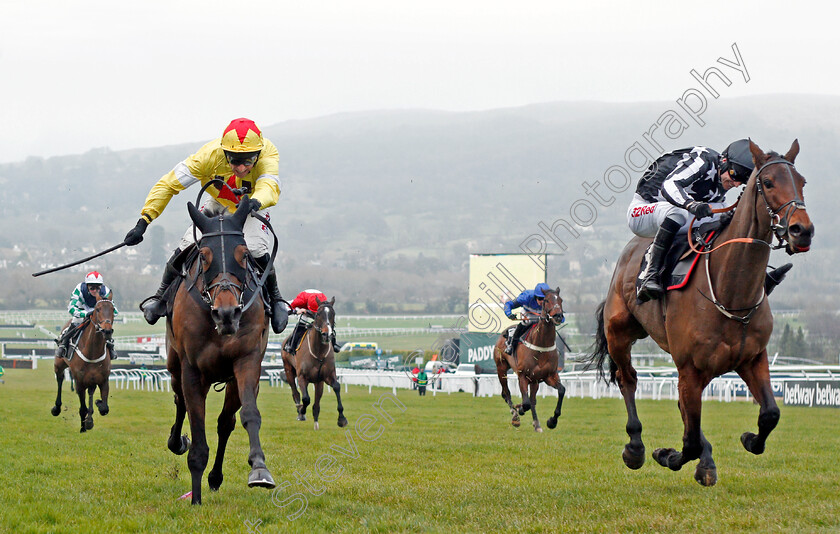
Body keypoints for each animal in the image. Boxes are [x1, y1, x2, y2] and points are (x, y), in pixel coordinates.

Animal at [50, 300, 114, 434]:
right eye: (97, 309)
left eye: (112, 309)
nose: (107, 331)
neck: (92, 352)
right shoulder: (80, 382)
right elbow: (83, 408)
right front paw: (83, 427)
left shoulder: (103, 379)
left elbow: (104, 408)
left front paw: (97, 405)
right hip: (59, 364)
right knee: (60, 379)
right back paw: (57, 408)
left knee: (91, 391)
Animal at [167, 197, 276, 506]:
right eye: (204, 256)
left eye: (244, 255)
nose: (227, 314)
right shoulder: (192, 371)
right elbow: (196, 425)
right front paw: (195, 498)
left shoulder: (247, 361)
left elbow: (249, 415)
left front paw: (259, 469)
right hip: (174, 366)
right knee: (180, 401)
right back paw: (177, 441)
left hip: (231, 380)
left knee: (225, 422)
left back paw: (215, 477)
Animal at [282, 300, 348, 434]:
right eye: (318, 314)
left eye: (333, 314)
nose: (326, 334)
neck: (319, 352)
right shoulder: (302, 376)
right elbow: (306, 398)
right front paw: (301, 412)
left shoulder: (326, 376)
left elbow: (337, 387)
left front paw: (342, 419)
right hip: (288, 370)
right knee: (295, 392)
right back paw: (300, 410)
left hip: (318, 382)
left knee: (316, 402)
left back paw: (316, 421)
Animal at [492, 286, 564, 434]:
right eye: (546, 300)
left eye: (561, 300)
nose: (558, 316)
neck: (541, 345)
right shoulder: (523, 376)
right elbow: (525, 403)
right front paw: (519, 409)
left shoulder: (549, 376)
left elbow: (561, 391)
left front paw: (552, 421)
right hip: (501, 368)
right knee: (506, 393)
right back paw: (515, 416)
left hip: (534, 380)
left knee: (532, 399)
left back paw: (537, 424)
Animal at [584, 140, 812, 488]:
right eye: (768, 182)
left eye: (802, 182)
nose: (802, 230)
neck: (732, 293)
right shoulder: (690, 368)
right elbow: (688, 442)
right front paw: (666, 455)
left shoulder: (751, 358)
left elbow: (770, 414)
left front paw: (748, 439)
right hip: (620, 331)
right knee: (628, 379)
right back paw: (636, 448)